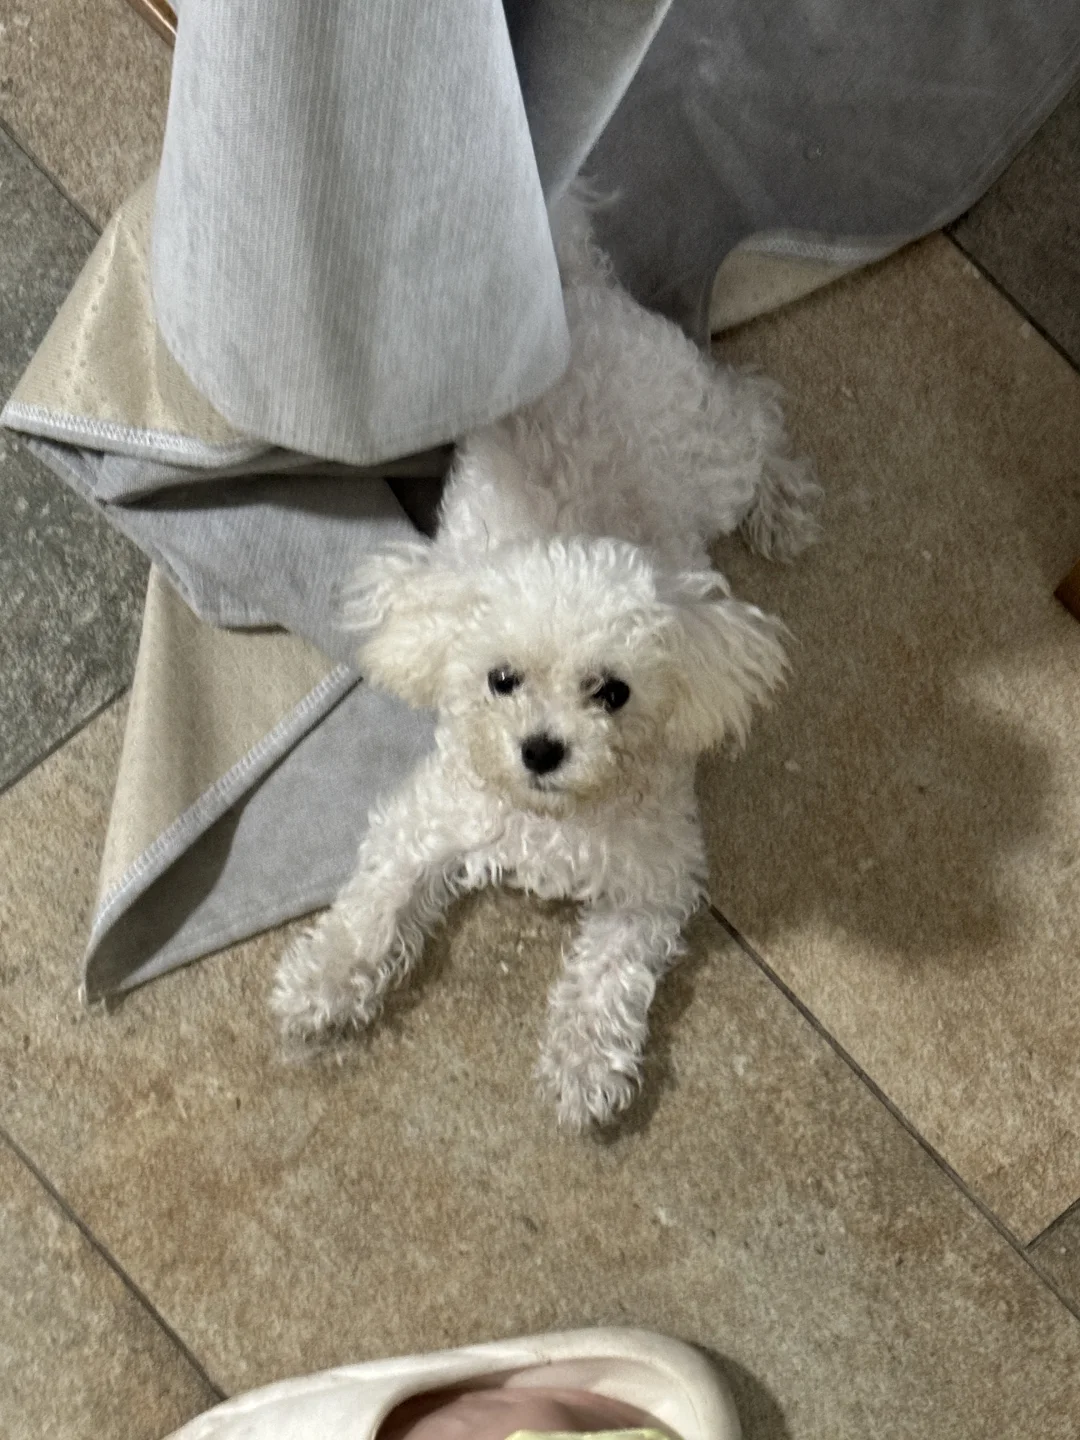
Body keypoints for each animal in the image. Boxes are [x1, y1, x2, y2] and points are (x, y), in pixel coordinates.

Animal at [272, 199, 819, 1129]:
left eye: (613, 692)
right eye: (501, 679)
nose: (541, 749)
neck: (551, 819)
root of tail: (579, 290)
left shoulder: (655, 874)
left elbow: (609, 974)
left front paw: (586, 1063)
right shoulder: (426, 820)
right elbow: (375, 905)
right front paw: (324, 980)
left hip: (709, 455)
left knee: (757, 409)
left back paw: (784, 505)